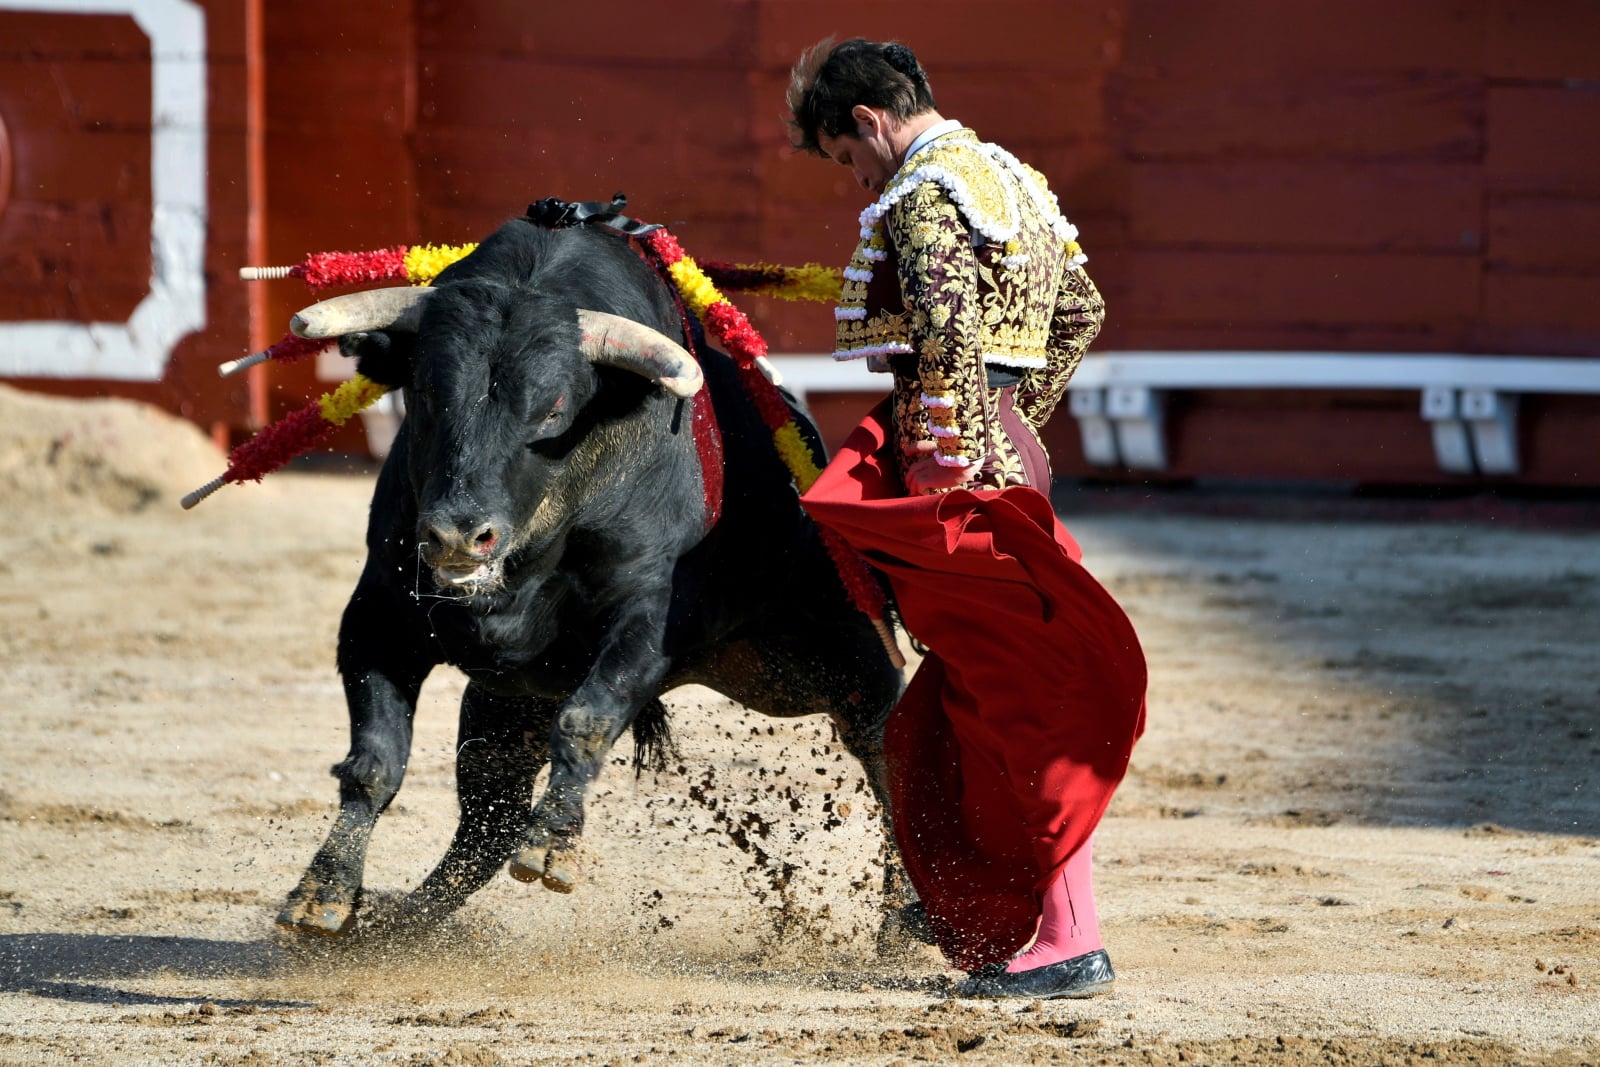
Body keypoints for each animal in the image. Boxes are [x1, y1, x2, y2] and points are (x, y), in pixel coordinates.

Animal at [278, 220, 915, 940]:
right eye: (427, 396)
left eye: (553, 410)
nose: (459, 536)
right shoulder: (379, 615)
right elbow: (375, 760)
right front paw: (323, 892)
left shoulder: (647, 619)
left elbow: (588, 716)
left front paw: (553, 844)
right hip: (509, 702)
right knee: (486, 825)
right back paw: (400, 924)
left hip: (841, 657)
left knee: (887, 751)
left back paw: (905, 924)